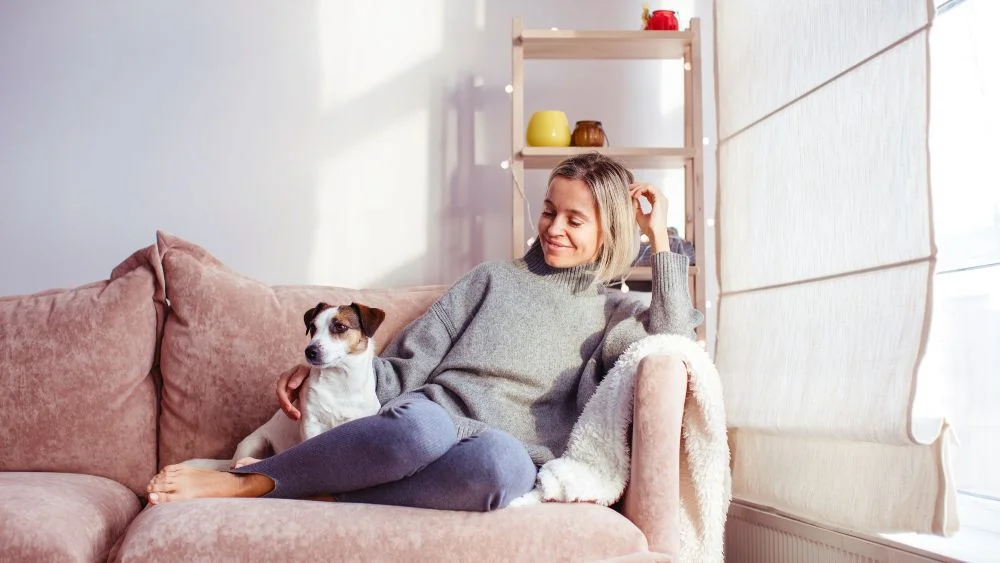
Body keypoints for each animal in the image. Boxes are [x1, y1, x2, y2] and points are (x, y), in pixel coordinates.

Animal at [182, 304, 384, 472]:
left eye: (340, 327)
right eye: (313, 328)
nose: (309, 351)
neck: (340, 382)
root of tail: (230, 460)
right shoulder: (311, 423)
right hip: (255, 442)